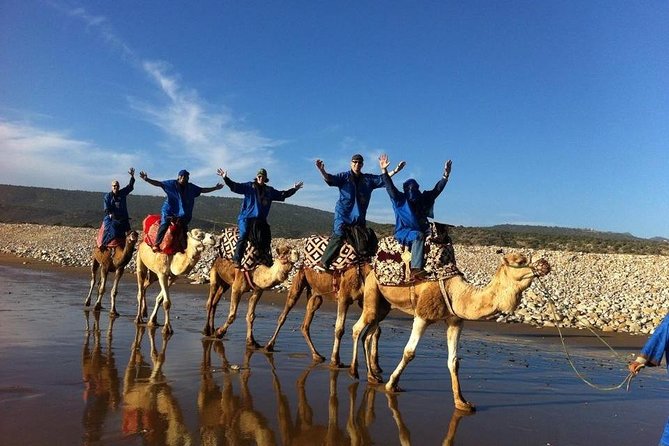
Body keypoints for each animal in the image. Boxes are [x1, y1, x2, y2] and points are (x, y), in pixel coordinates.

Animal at [348, 251, 552, 412]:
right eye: (520, 261)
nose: (545, 264)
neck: (456, 293)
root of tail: (372, 269)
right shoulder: (422, 315)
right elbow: (409, 352)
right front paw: (392, 385)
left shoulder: (455, 321)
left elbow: (454, 361)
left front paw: (462, 402)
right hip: (372, 292)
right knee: (359, 328)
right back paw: (354, 372)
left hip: (384, 306)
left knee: (369, 332)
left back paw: (372, 376)